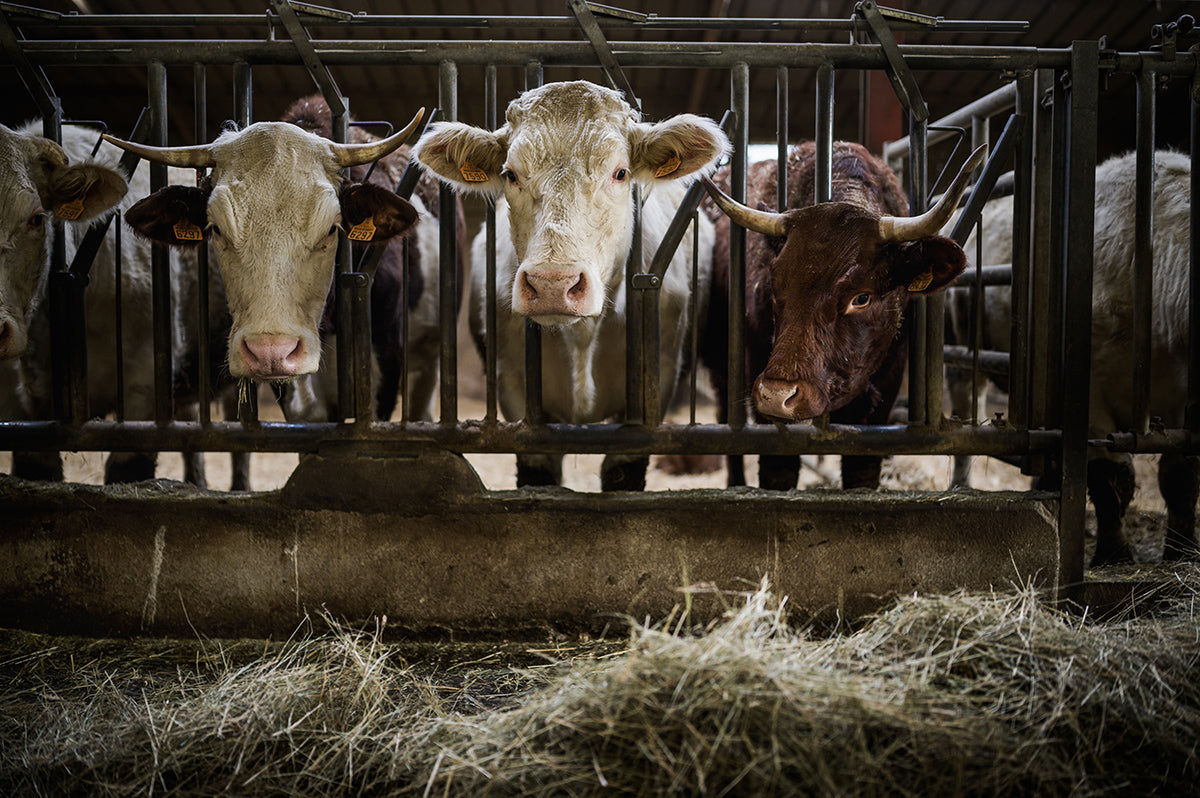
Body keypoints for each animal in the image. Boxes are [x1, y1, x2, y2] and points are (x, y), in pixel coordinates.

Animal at [412, 80, 728, 490]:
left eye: (620, 172)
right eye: (510, 174)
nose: (552, 283)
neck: (581, 337)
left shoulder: (654, 387)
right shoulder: (514, 390)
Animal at [947, 150, 1199, 566]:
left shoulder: (1182, 403)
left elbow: (1180, 476)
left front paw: (1181, 551)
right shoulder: (1087, 395)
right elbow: (1112, 478)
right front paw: (1114, 555)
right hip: (962, 359)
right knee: (964, 417)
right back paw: (960, 486)